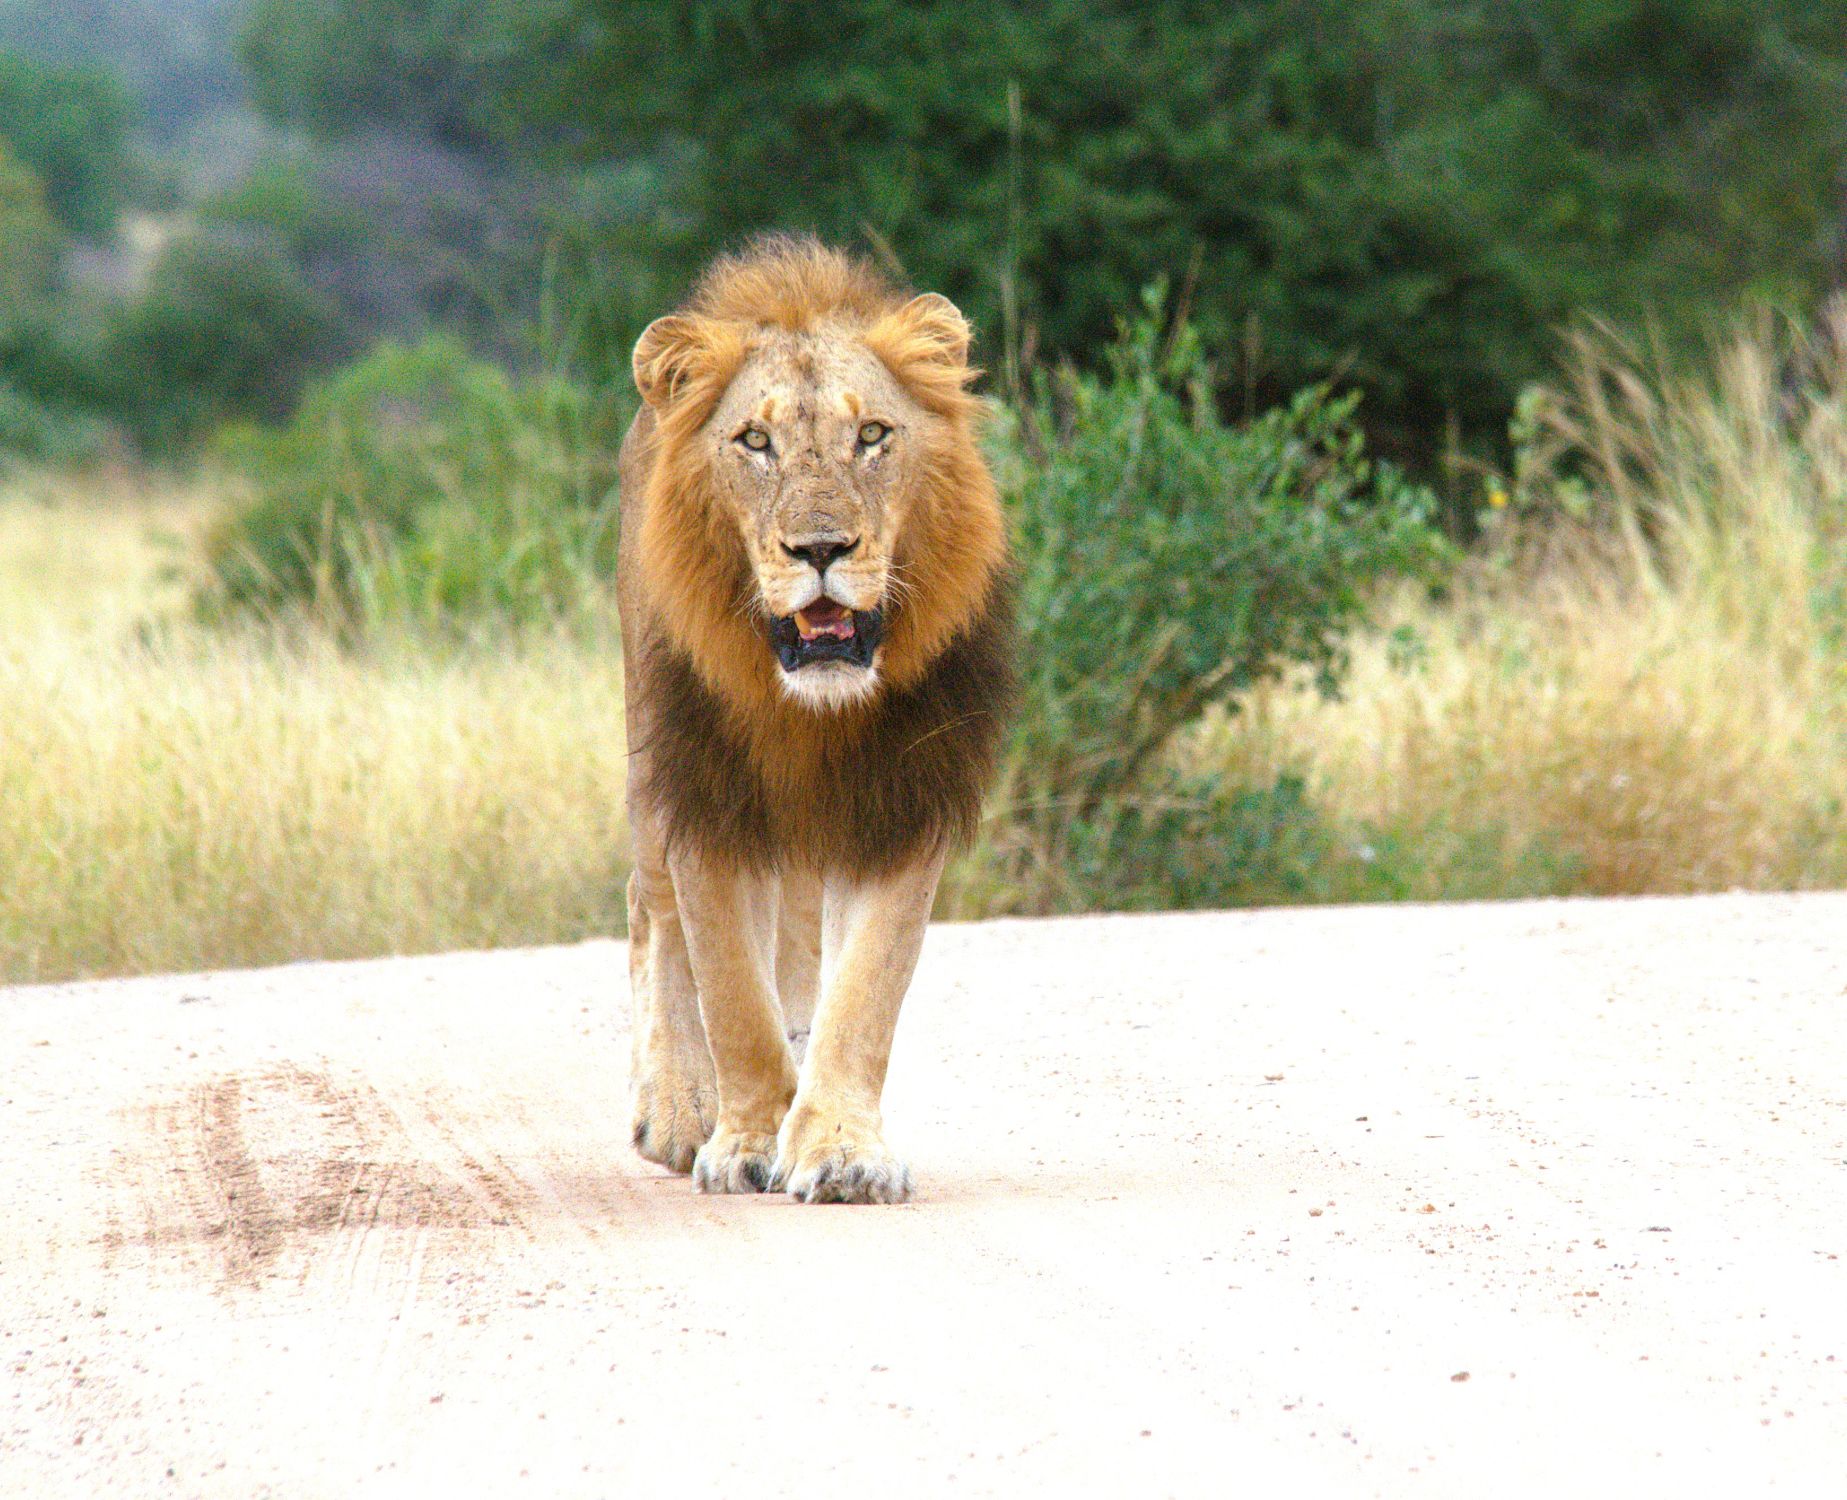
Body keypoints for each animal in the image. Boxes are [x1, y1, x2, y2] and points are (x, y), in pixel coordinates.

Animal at [616, 235, 1015, 1204]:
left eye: (870, 435)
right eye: (754, 441)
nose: (823, 549)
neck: (809, 714)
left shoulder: (900, 803)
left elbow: (864, 991)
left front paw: (836, 1148)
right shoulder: (705, 801)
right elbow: (730, 992)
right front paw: (746, 1138)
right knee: (655, 920)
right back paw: (676, 1110)